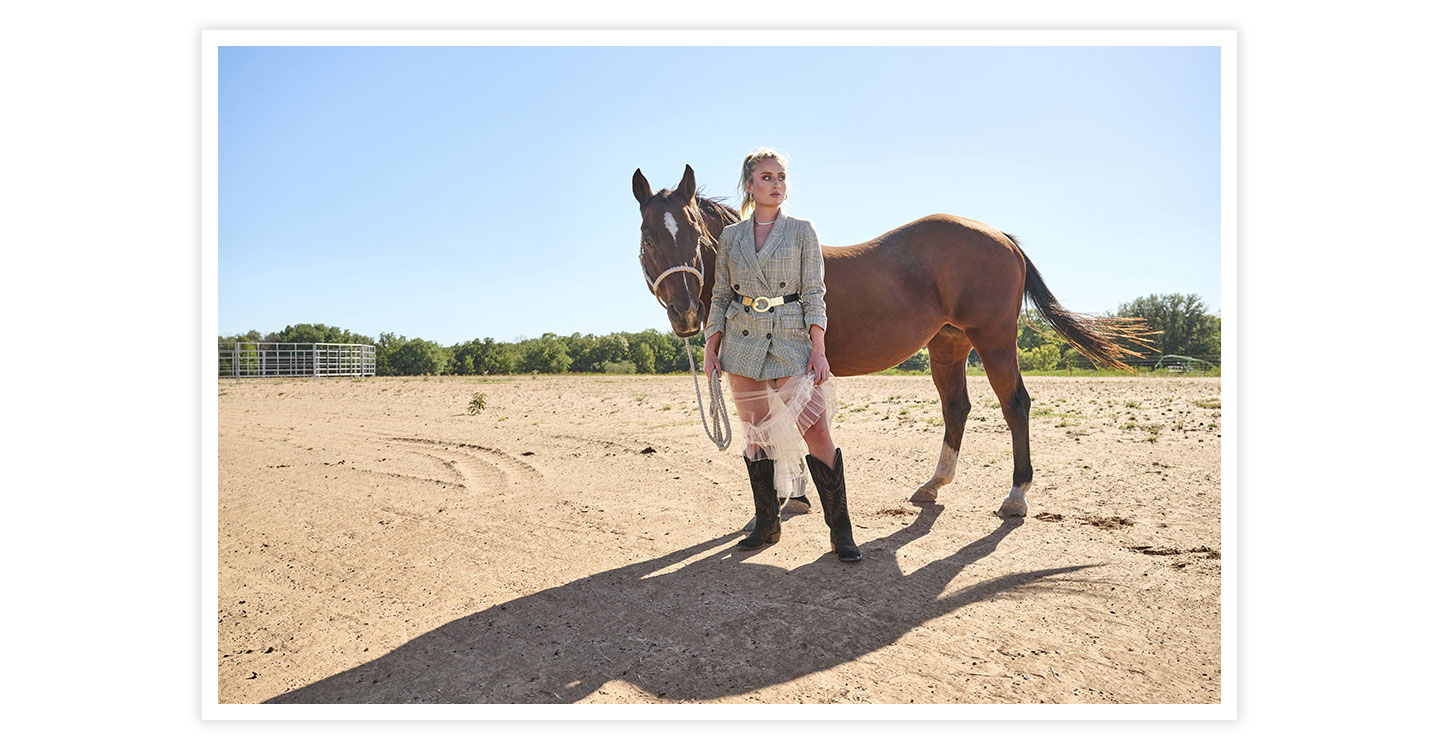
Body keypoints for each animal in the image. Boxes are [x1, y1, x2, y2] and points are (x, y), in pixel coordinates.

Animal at [630, 164, 1146, 515]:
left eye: (695, 234)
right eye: (648, 237)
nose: (686, 313)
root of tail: (1000, 235)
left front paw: (793, 497)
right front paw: (794, 495)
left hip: (995, 339)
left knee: (1015, 404)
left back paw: (1016, 496)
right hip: (948, 346)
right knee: (956, 408)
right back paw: (933, 485)